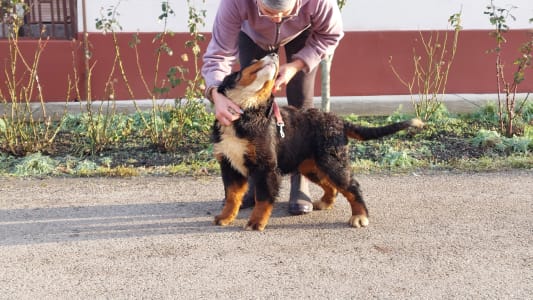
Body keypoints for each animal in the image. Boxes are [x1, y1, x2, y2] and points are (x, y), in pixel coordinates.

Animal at [210, 53, 422, 232]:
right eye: (254, 60)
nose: (274, 54)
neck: (245, 112)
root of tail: (338, 120)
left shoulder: (266, 167)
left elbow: (262, 199)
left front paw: (256, 222)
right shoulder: (229, 165)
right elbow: (232, 196)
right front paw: (225, 217)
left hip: (332, 161)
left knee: (352, 186)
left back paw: (360, 216)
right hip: (312, 165)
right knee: (331, 186)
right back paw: (325, 202)